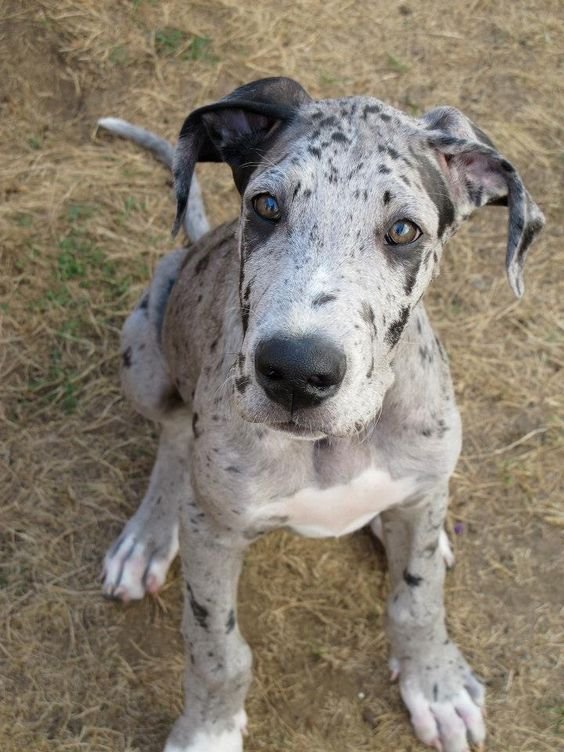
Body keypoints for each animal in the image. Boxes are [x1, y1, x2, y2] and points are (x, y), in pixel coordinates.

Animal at [97, 78, 540, 752]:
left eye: (404, 230)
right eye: (266, 206)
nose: (295, 372)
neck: (337, 444)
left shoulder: (422, 488)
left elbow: (418, 602)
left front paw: (435, 683)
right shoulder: (213, 534)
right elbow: (217, 648)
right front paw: (208, 730)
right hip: (145, 345)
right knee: (172, 434)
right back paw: (148, 534)